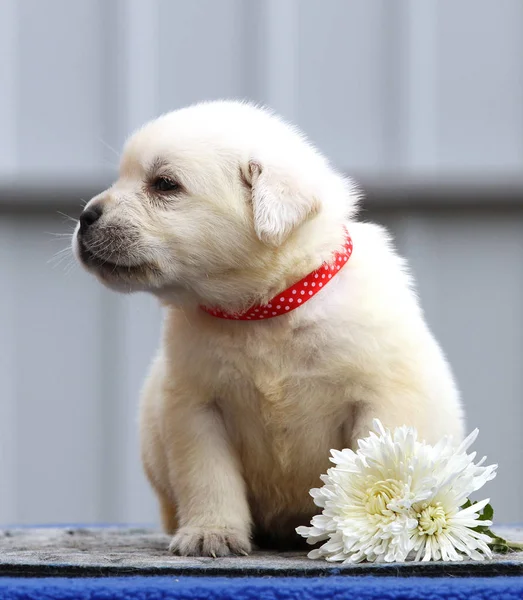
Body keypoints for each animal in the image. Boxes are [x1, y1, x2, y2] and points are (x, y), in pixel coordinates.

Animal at [72, 99, 462, 556]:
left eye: (164, 184)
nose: (85, 217)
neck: (263, 313)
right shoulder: (196, 410)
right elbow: (208, 478)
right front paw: (211, 532)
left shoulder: (379, 402)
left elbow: (370, 473)